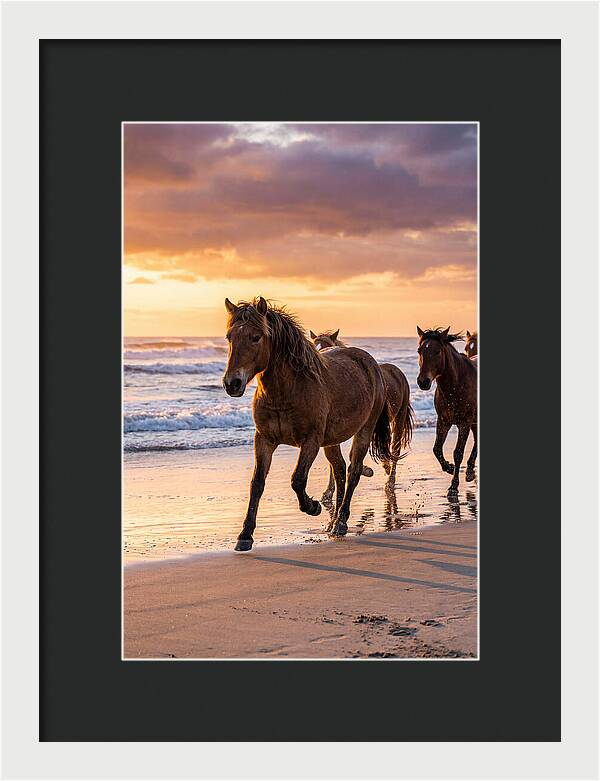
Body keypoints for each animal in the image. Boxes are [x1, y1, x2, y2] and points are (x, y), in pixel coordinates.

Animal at [222, 297, 393, 550]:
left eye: (255, 337)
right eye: (229, 337)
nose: (232, 383)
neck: (287, 390)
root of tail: (371, 364)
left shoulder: (310, 441)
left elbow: (297, 479)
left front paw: (312, 507)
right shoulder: (264, 440)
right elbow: (257, 483)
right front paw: (245, 535)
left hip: (363, 431)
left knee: (353, 471)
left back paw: (341, 522)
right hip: (331, 441)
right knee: (340, 470)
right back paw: (333, 523)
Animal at [310, 329, 414, 493]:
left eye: (327, 345)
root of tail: (397, 371)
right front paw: (328, 491)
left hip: (398, 418)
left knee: (395, 449)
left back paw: (390, 481)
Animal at [416, 326, 477, 495]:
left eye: (437, 351)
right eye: (419, 350)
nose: (423, 382)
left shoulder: (465, 423)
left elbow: (458, 453)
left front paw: (453, 486)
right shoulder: (443, 421)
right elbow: (437, 449)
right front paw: (448, 467)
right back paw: (470, 471)